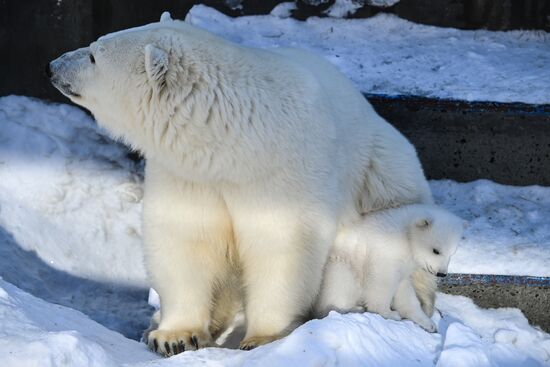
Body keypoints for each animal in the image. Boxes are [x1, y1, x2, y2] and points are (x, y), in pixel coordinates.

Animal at [47, 13, 436, 354]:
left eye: (94, 54)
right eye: (95, 44)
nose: (53, 64)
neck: (234, 144)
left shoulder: (282, 172)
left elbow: (281, 247)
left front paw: (264, 337)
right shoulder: (189, 175)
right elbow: (184, 240)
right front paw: (173, 336)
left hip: (382, 170)